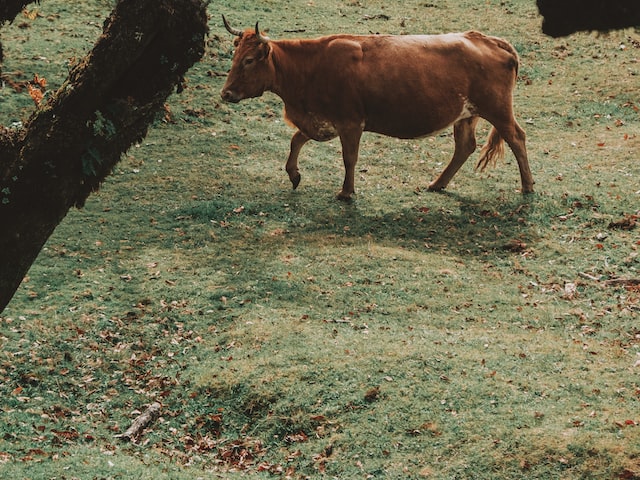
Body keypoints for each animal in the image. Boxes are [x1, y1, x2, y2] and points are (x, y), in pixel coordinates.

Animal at [221, 16, 536, 201]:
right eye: (234, 56)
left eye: (249, 60)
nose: (226, 93)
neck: (312, 66)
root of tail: (487, 39)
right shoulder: (321, 121)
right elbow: (296, 139)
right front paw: (294, 174)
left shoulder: (350, 123)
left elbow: (349, 158)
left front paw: (346, 192)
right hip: (466, 114)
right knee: (465, 147)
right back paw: (438, 184)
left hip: (497, 110)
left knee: (516, 138)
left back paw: (527, 185)